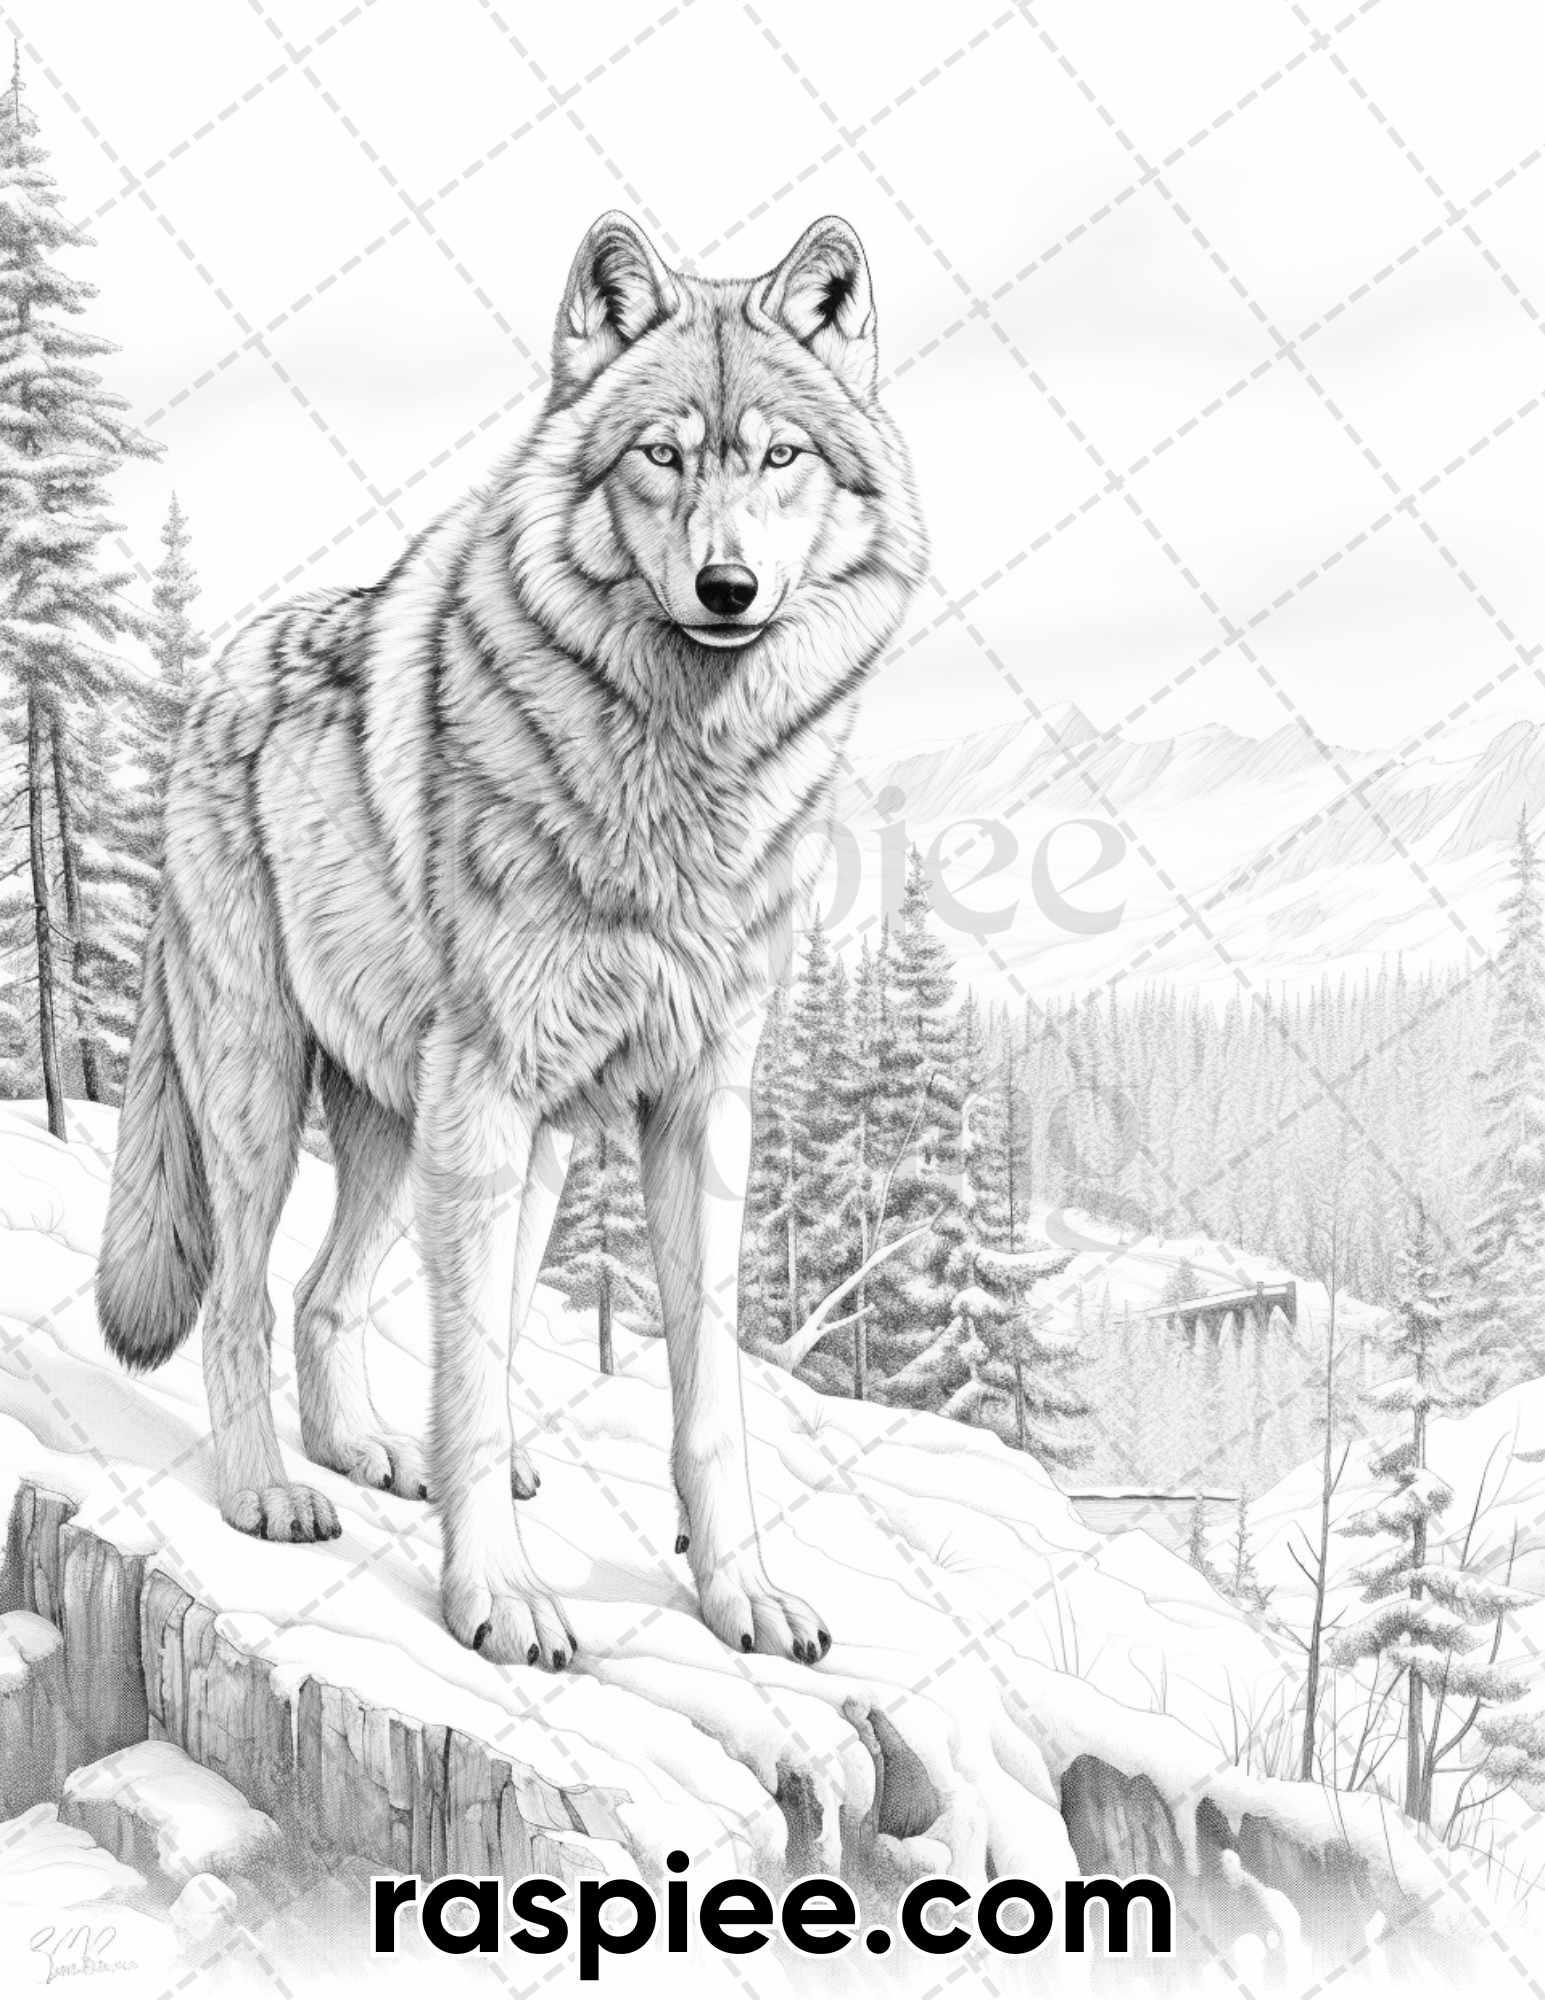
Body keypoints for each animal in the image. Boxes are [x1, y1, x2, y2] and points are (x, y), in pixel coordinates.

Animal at [96, 212, 926, 1669]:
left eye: (781, 457)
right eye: (661, 454)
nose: (727, 586)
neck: (682, 778)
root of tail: (221, 668)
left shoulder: (703, 1103)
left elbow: (705, 1400)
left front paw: (738, 1594)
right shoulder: (486, 1086)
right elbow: (475, 1379)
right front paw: (497, 1597)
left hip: (455, 1136)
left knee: (332, 1298)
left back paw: (374, 1451)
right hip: (273, 1097)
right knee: (246, 1300)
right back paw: (268, 1490)